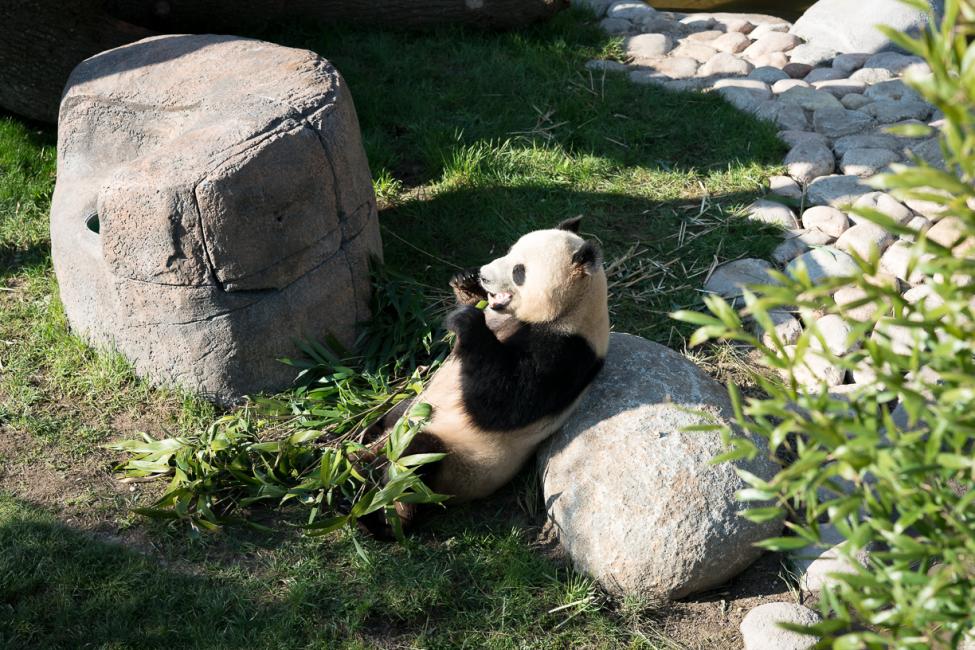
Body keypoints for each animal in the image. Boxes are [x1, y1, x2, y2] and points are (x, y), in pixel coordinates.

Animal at [364, 218, 608, 532]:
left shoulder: (567, 352)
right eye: (509, 250)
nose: (483, 274)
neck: (574, 306)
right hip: (417, 410)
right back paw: (363, 447)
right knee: (394, 416)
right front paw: (465, 283)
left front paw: (466, 320)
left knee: (414, 464)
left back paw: (386, 514)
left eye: (519, 271)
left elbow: (503, 400)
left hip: (459, 463)